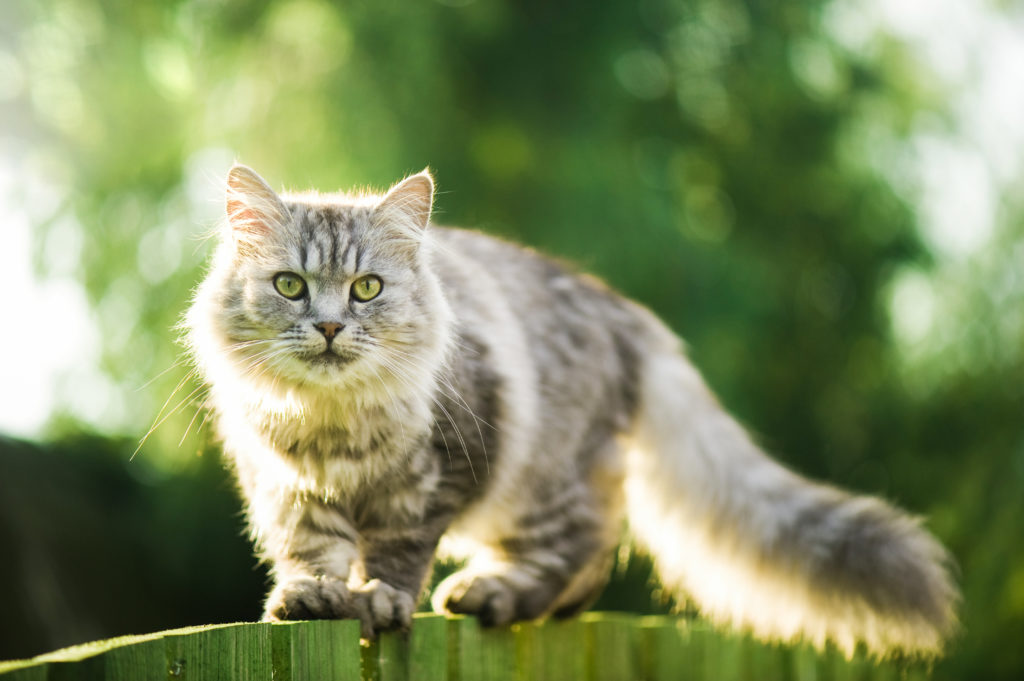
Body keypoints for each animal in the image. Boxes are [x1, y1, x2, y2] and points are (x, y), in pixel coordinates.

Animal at [186, 161, 958, 655]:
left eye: (367, 288)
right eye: (290, 285)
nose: (328, 326)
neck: (331, 424)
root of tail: (626, 314)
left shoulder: (438, 475)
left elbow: (398, 552)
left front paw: (380, 599)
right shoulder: (285, 485)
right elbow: (311, 549)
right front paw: (316, 596)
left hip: (545, 481)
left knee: (587, 543)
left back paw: (493, 592)